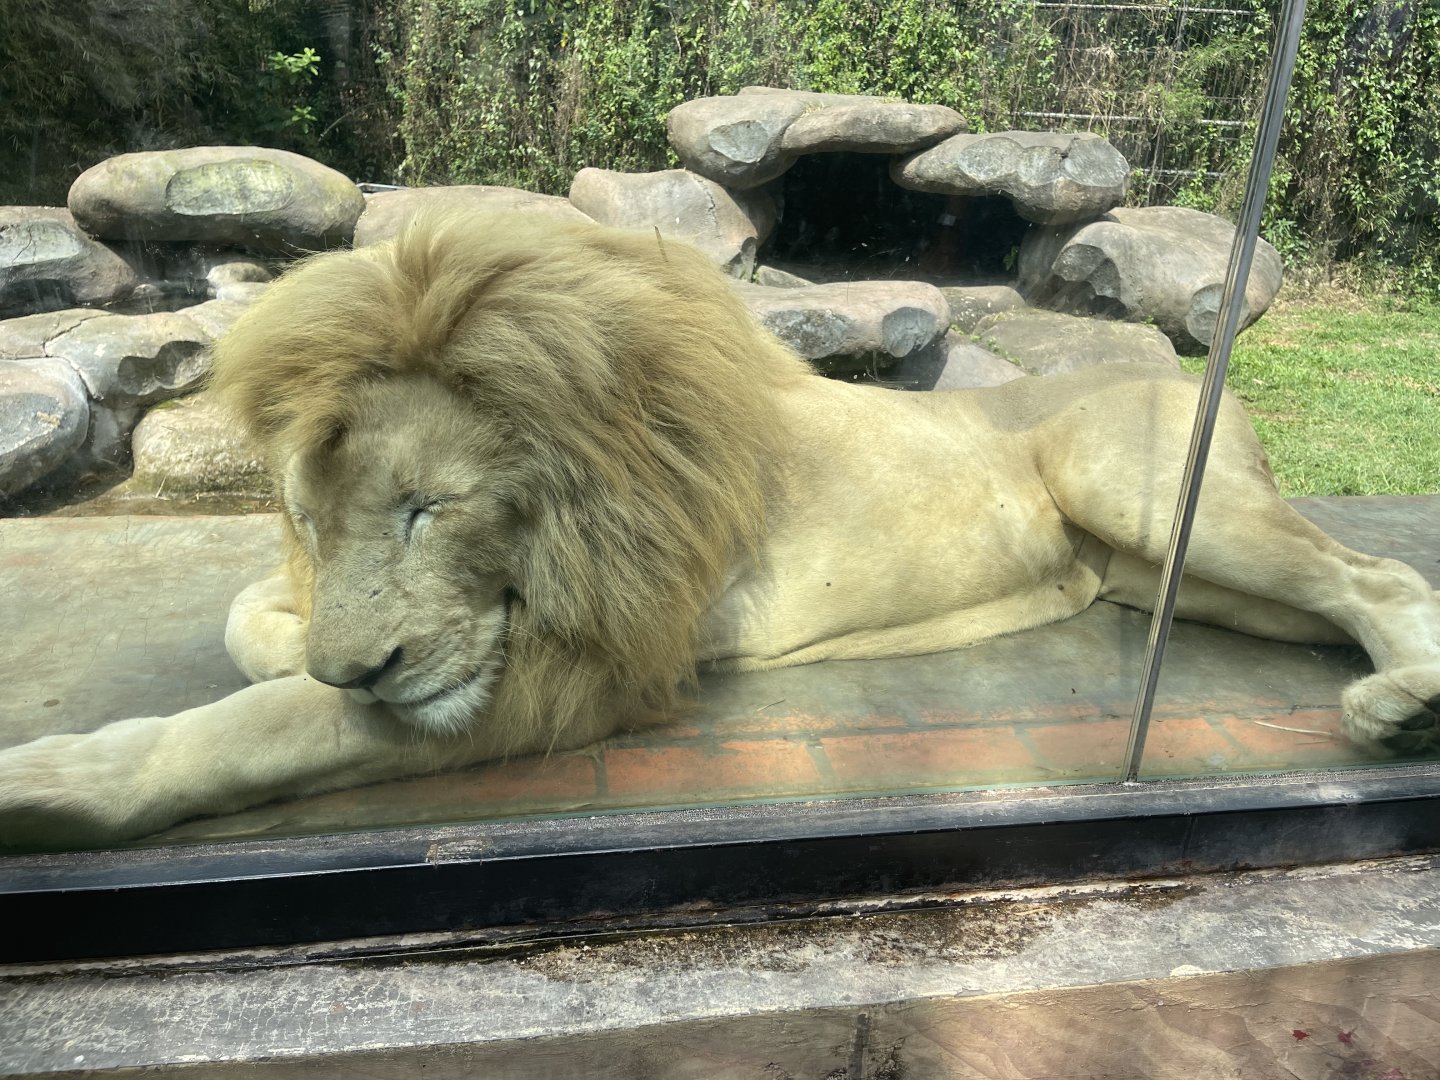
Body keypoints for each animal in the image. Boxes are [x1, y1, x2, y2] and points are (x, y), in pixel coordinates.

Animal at [2, 212, 1438, 850]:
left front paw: (54, 786)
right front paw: (291, 641)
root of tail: (1202, 381)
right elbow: (252, 623)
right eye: (311, 515)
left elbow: (272, 723)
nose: (366, 664)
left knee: (1381, 574)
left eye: (429, 508)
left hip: (1137, 492)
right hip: (1157, 577)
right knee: (1340, 591)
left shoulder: (599, 664)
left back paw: (1405, 710)